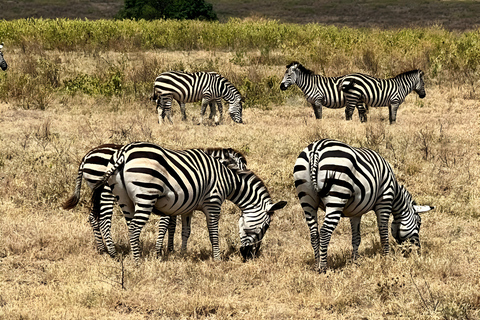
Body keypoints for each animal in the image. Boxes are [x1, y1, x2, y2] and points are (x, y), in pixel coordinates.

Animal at [62, 144, 248, 258]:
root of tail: (86, 156)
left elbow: (173, 225)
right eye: (243, 169)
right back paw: (113, 252)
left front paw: (170, 249)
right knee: (104, 221)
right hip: (106, 193)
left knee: (93, 218)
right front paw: (160, 251)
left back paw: (102, 250)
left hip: (98, 192)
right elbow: (166, 224)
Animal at [90, 142, 284, 262]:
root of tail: (123, 153)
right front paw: (217, 259)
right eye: (266, 226)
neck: (228, 180)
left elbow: (185, 231)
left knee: (126, 224)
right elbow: (213, 233)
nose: (251, 256)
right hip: (145, 195)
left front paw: (182, 254)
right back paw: (135, 261)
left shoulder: (187, 206)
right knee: (131, 227)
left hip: (124, 199)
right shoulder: (213, 203)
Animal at [292, 138, 436, 272]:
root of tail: (316, 148)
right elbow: (383, 231)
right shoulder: (384, 201)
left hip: (307, 199)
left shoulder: (355, 212)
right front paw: (386, 257)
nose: (418, 250)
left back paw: (316, 264)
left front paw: (355, 261)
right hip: (337, 196)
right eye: (419, 222)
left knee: (314, 233)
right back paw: (323, 268)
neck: (395, 193)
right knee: (325, 231)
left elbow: (356, 238)